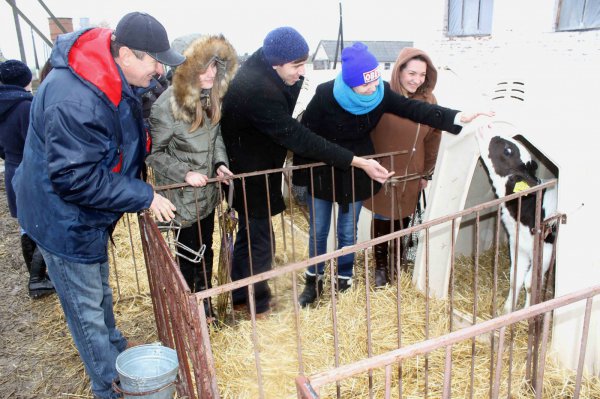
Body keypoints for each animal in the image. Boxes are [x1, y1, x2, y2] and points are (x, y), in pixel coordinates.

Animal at [476, 124, 556, 312]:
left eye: (508, 150)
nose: (487, 124)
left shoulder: (546, 249)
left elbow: (530, 283)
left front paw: (528, 312)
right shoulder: (518, 243)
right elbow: (515, 278)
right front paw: (507, 309)